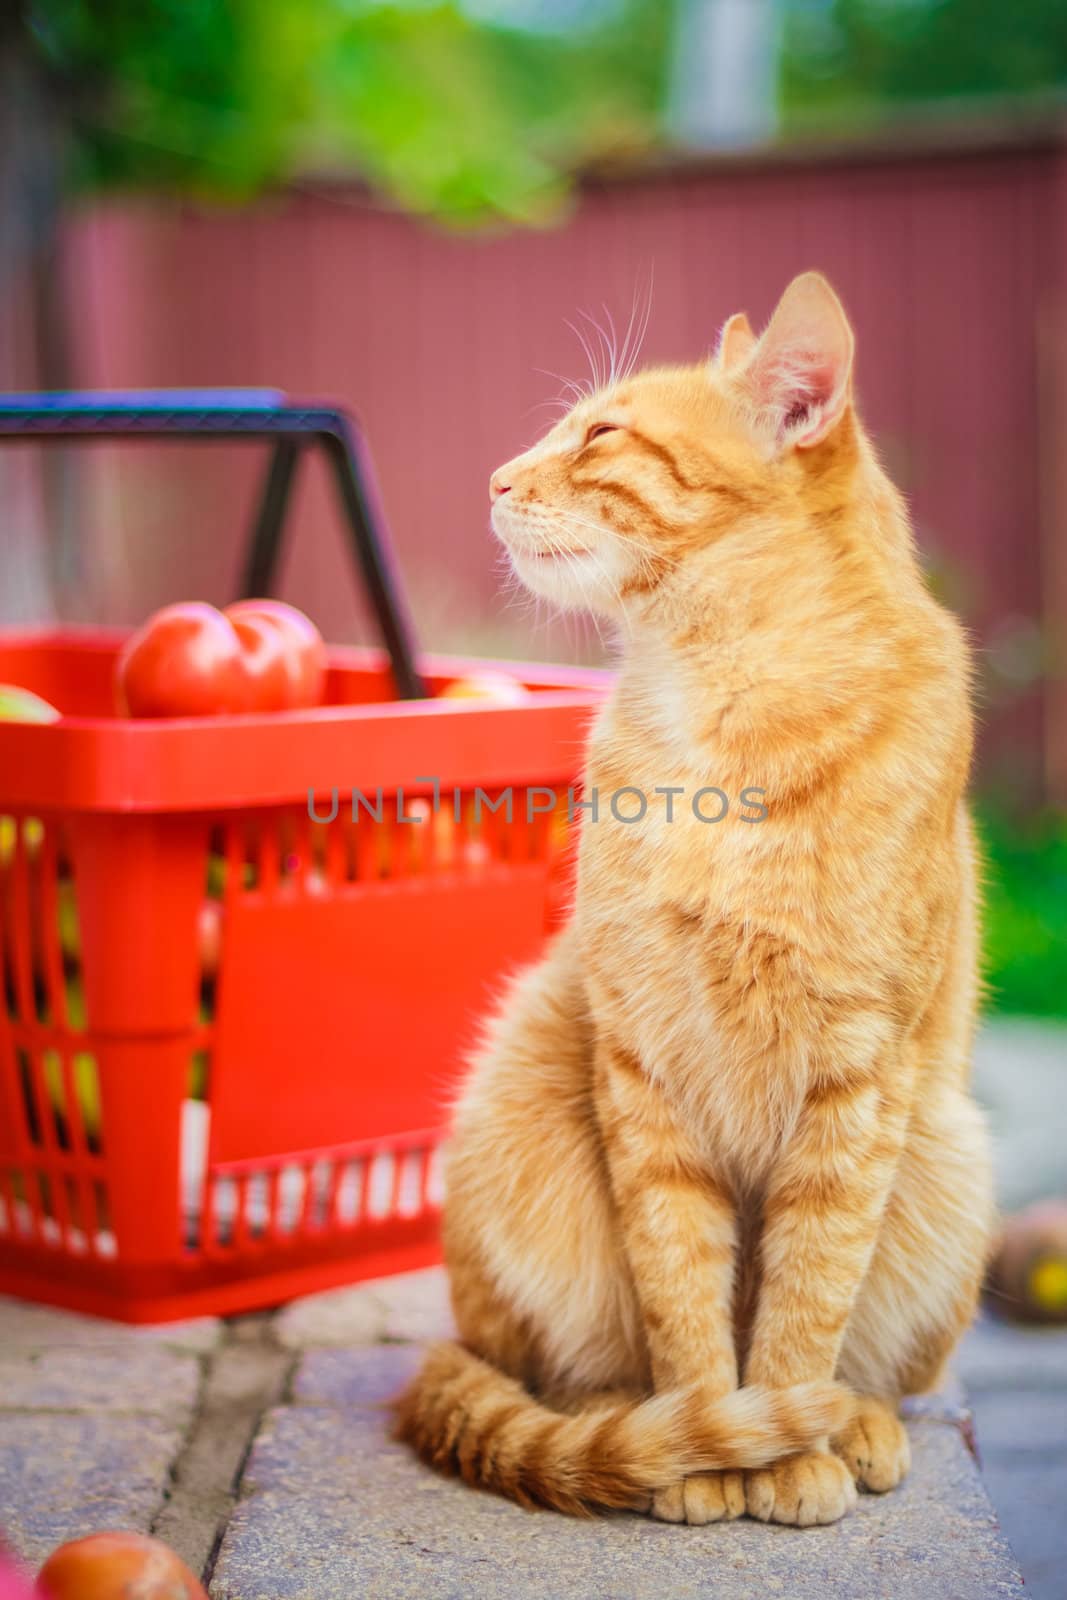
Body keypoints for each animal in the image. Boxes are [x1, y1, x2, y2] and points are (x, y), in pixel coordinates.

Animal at [396, 272, 998, 1523]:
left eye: (600, 436)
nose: (495, 480)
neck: (716, 711)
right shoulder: (644, 1065)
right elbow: (680, 1292)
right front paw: (707, 1444)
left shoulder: (855, 1083)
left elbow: (804, 1303)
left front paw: (785, 1447)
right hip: (519, 1101)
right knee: (553, 1374)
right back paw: (625, 1429)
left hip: (946, 1152)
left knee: (873, 1365)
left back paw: (855, 1423)